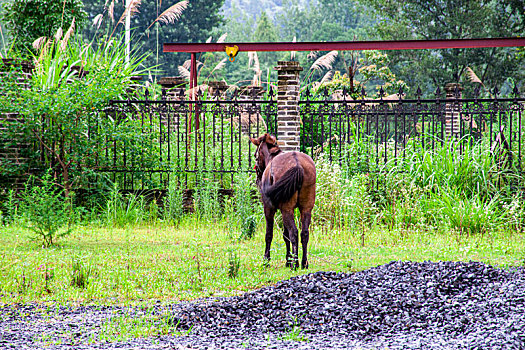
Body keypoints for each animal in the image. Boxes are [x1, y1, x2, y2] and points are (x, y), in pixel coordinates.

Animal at [250, 135, 316, 270]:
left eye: (255, 155)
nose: (257, 178)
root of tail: (297, 164)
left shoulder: (269, 209)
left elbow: (269, 234)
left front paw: (266, 260)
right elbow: (285, 235)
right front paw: (288, 260)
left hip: (286, 209)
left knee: (294, 232)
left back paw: (295, 264)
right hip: (305, 208)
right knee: (304, 233)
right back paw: (304, 263)